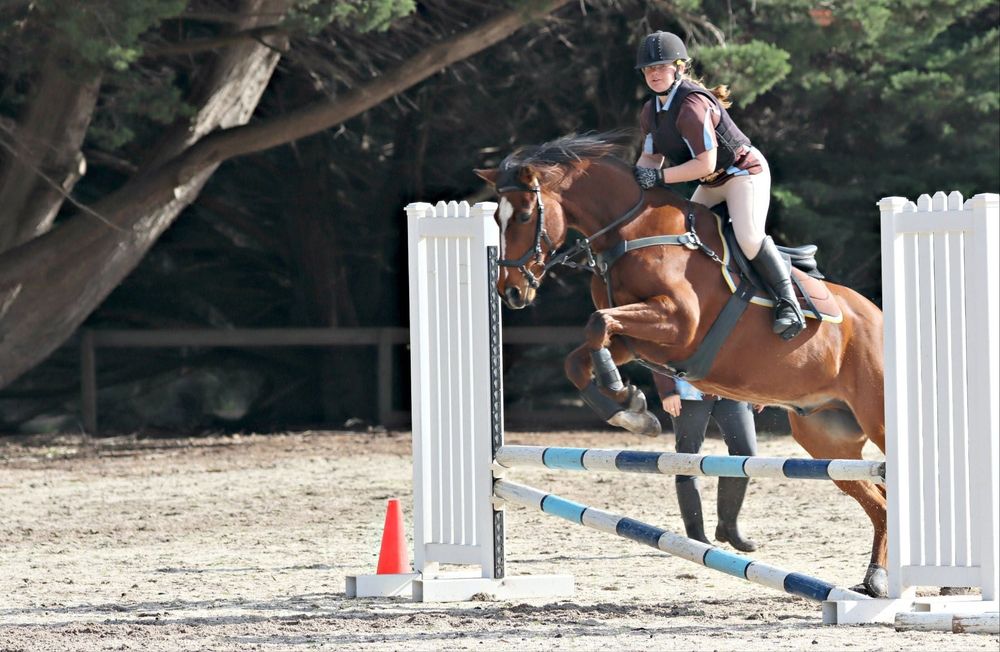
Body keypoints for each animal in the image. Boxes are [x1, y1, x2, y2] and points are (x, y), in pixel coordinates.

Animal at [474, 134, 888, 598]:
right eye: (498, 218)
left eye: (526, 214)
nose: (511, 292)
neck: (632, 232)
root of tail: (878, 316)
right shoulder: (641, 339)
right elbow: (580, 356)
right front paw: (630, 409)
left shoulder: (678, 323)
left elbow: (597, 324)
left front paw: (621, 391)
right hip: (827, 440)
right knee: (880, 500)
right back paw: (875, 580)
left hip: (877, 420)